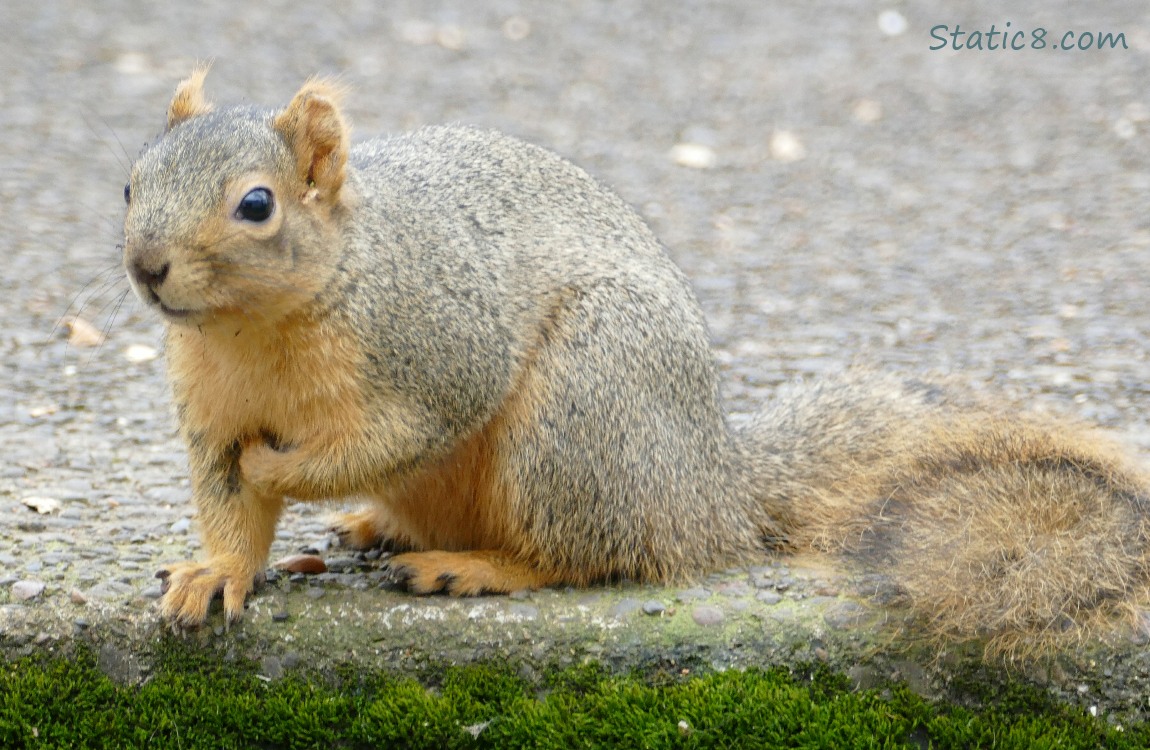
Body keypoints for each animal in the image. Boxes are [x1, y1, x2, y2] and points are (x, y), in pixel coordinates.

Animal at [121, 70, 1145, 657]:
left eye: (256, 205)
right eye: (130, 182)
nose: (145, 266)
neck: (254, 327)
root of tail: (711, 490)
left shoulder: (438, 351)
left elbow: (380, 440)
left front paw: (278, 466)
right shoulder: (207, 407)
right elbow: (227, 504)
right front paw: (217, 571)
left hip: (582, 409)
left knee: (585, 556)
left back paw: (472, 568)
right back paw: (380, 527)